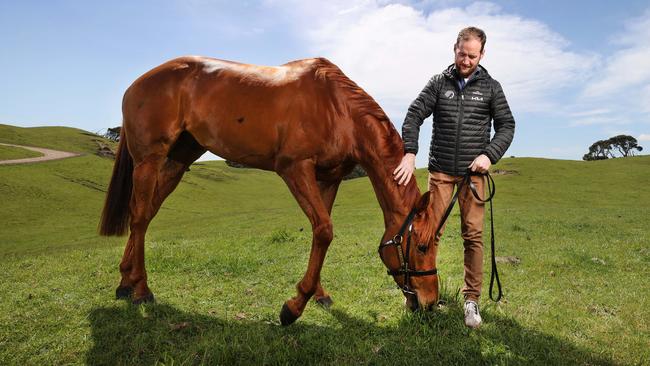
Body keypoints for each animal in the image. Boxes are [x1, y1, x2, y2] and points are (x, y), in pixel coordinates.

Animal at [98, 55, 438, 324]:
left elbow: (321, 234)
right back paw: (141, 289)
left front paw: (318, 294)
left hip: (178, 161)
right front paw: (293, 307)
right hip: (149, 162)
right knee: (139, 217)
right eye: (421, 247)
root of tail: (136, 84)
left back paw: (126, 281)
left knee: (147, 215)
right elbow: (324, 230)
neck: (338, 109)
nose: (431, 303)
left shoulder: (328, 180)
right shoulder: (294, 169)